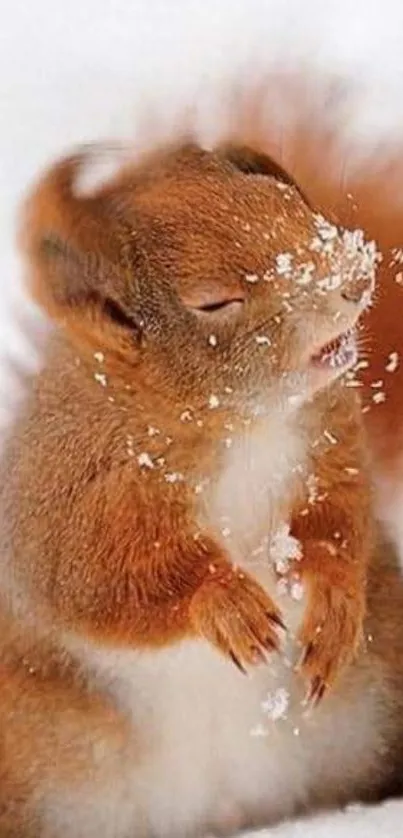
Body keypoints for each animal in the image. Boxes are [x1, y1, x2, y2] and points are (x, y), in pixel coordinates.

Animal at [0, 135, 402, 836]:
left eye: (287, 199)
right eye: (213, 302)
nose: (354, 279)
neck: (238, 425)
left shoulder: (328, 436)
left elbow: (340, 517)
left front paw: (333, 600)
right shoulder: (70, 492)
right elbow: (94, 580)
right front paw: (224, 602)